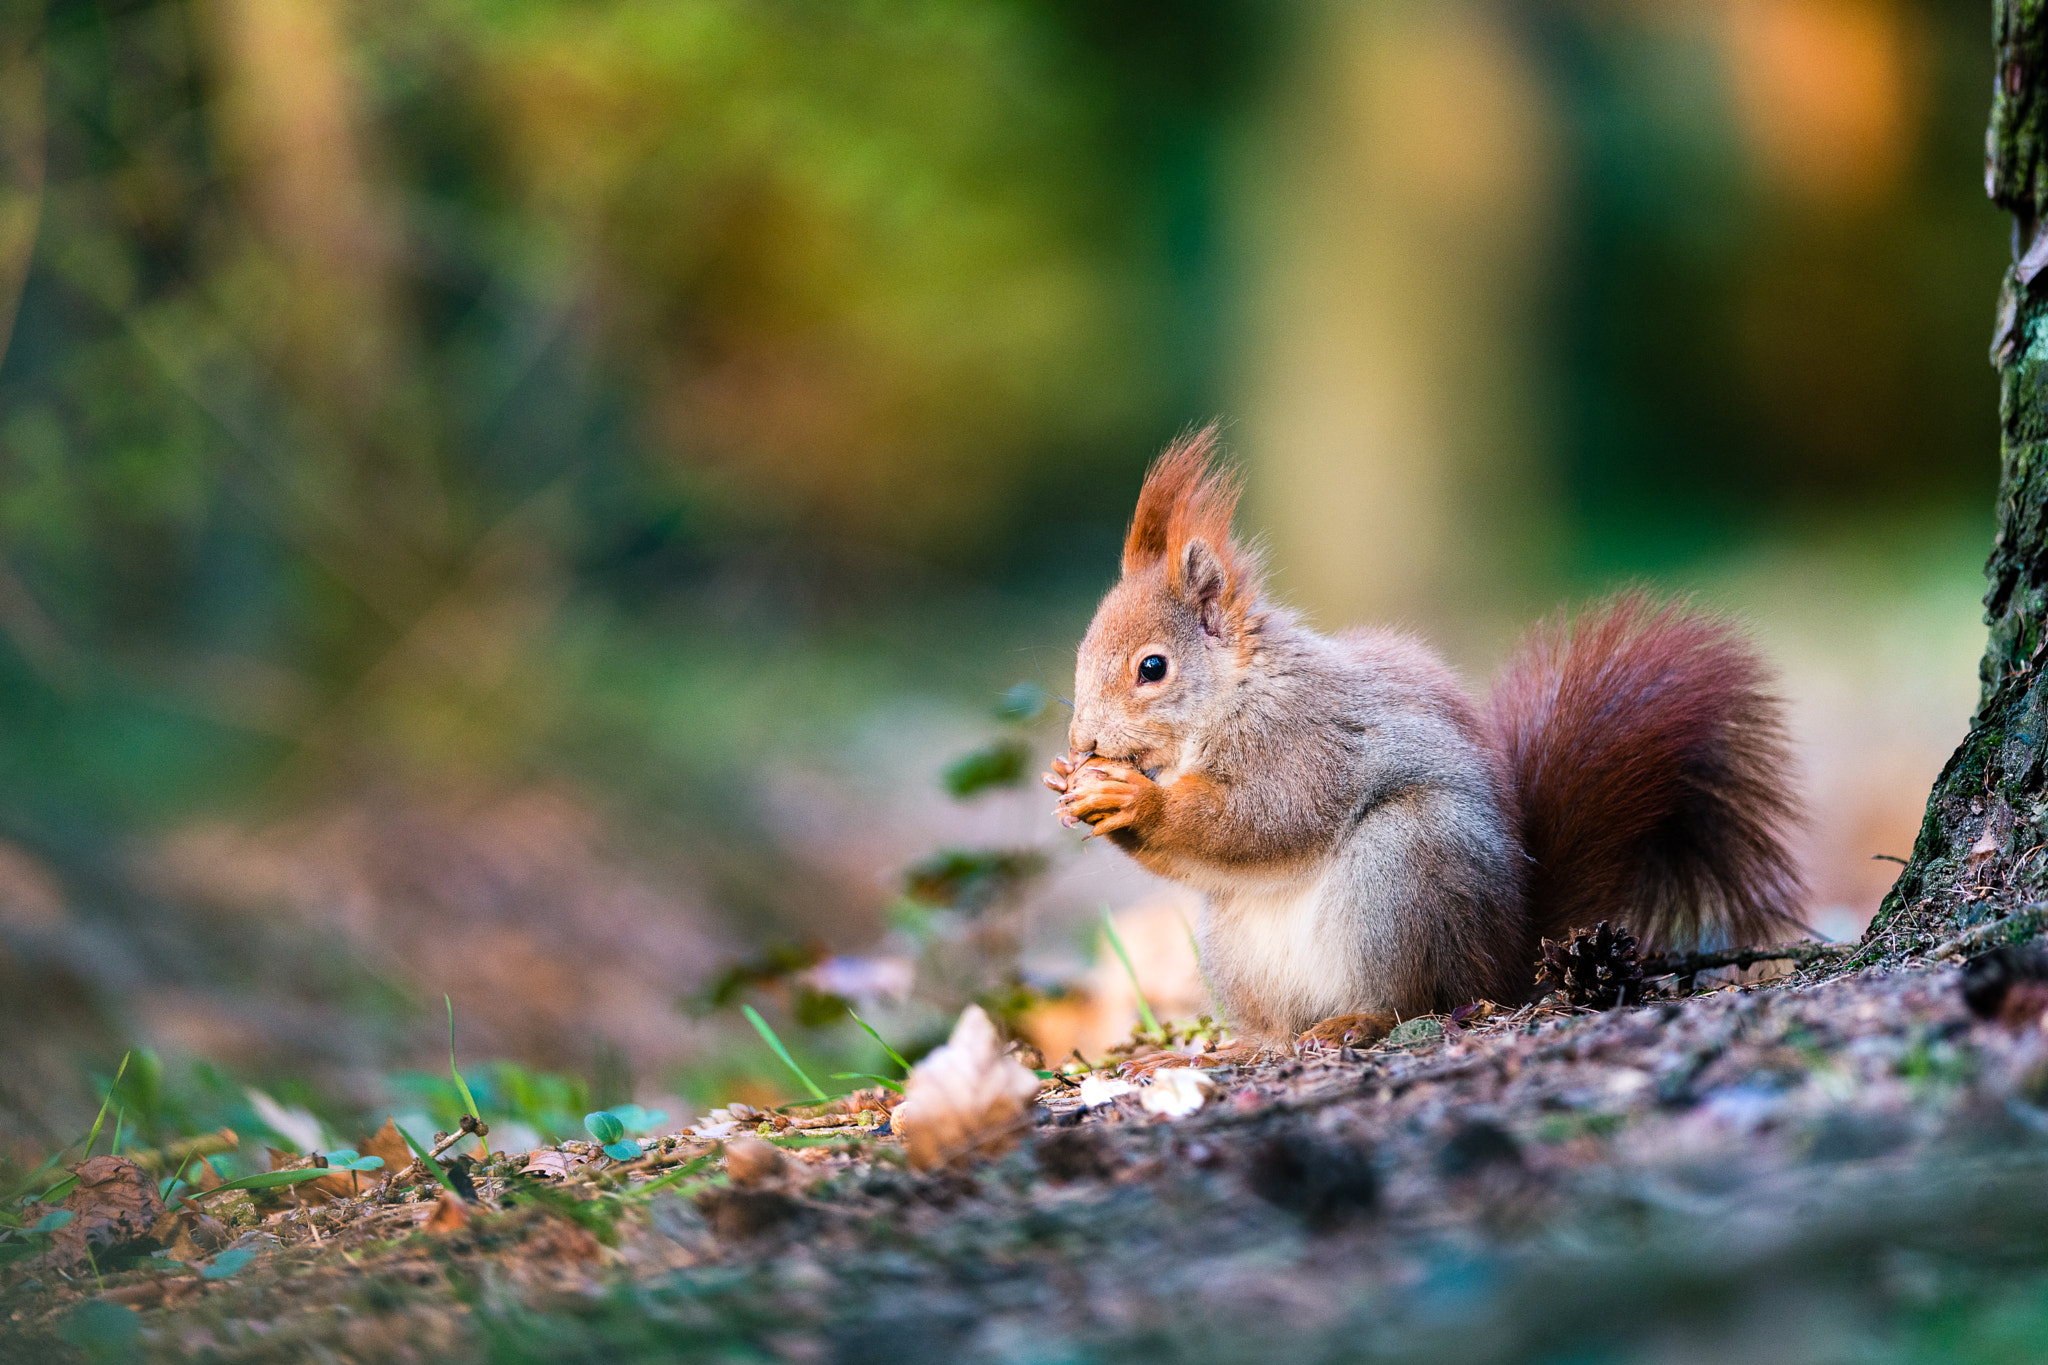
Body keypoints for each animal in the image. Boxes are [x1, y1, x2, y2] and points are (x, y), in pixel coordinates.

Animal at [1048, 429, 1802, 1047]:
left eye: (1152, 668)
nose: (1082, 740)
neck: (1236, 692)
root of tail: (1507, 961)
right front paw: (1068, 785)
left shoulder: (1305, 739)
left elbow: (1263, 817)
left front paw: (1138, 799)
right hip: (1237, 947)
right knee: (1278, 1029)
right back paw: (1237, 1046)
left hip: (1406, 870)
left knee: (1418, 1000)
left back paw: (1358, 1021)